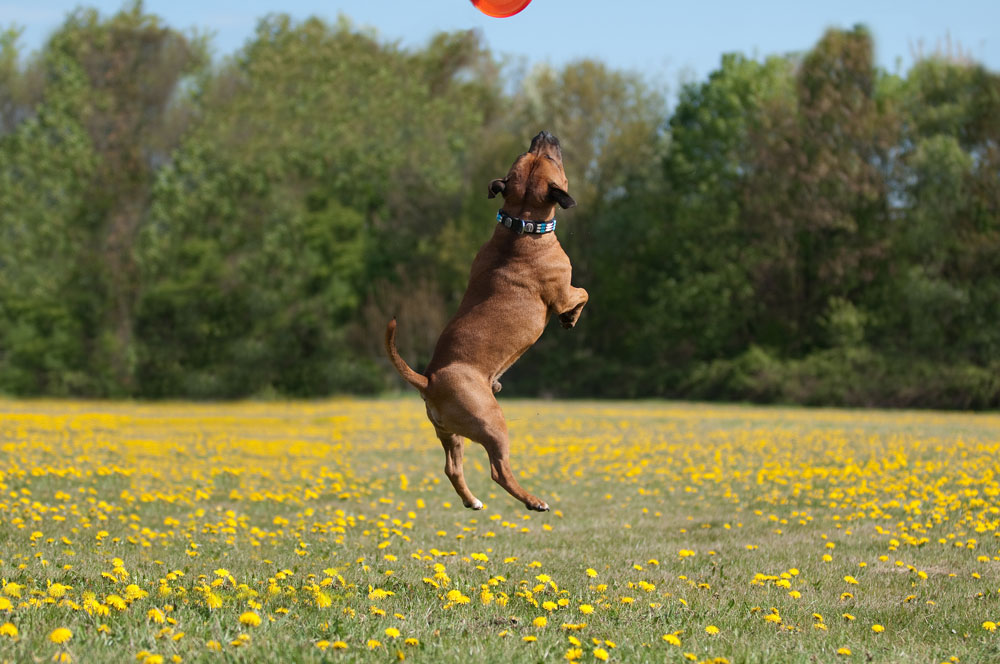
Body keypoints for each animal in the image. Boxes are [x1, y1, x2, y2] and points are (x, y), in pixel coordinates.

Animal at [382, 131, 584, 512]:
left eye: (530, 153)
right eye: (550, 158)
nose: (544, 134)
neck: (521, 224)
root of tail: (429, 380)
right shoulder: (562, 291)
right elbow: (581, 293)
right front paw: (571, 319)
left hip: (450, 433)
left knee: (452, 467)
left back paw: (472, 501)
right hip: (493, 423)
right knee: (498, 470)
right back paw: (533, 501)